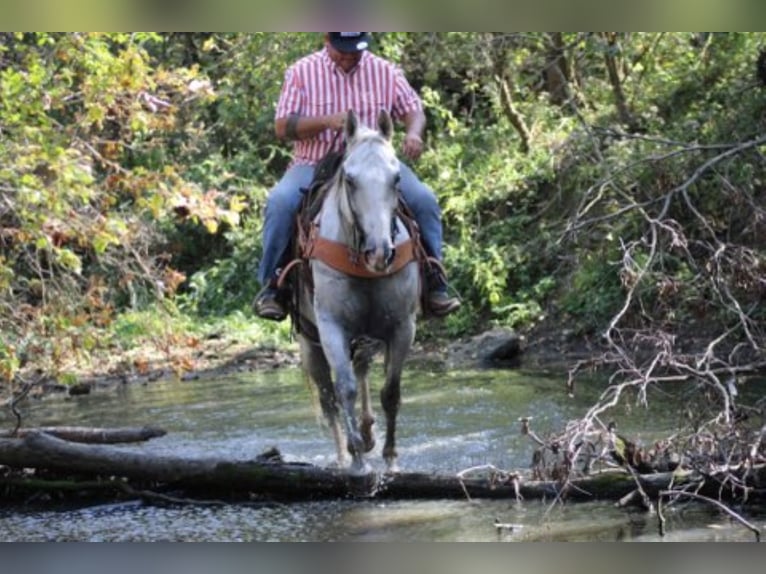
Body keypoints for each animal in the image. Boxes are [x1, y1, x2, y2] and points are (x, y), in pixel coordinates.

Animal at [291, 109, 421, 474]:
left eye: (396, 179)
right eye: (349, 180)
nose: (380, 252)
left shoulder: (402, 326)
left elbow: (391, 392)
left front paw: (390, 458)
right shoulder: (331, 326)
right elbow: (344, 389)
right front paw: (358, 460)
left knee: (361, 369)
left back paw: (367, 432)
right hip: (310, 342)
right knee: (328, 397)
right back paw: (342, 454)